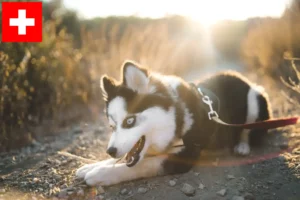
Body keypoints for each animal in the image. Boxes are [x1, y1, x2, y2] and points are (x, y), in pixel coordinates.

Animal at [75, 60, 272, 186]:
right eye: (111, 126)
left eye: (129, 121)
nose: (110, 151)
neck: (176, 116)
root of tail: (241, 78)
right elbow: (132, 159)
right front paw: (92, 166)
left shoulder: (189, 152)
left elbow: (143, 165)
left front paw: (101, 174)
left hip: (255, 98)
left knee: (247, 129)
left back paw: (242, 146)